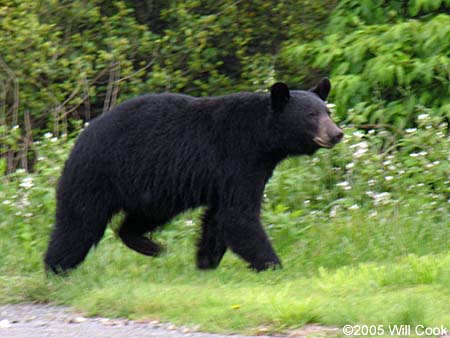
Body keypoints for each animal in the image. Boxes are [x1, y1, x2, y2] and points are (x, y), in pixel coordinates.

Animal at [44, 78, 342, 274]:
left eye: (327, 111)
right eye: (311, 114)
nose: (336, 133)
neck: (261, 139)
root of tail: (79, 139)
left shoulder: (234, 173)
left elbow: (218, 218)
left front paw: (206, 262)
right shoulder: (238, 161)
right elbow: (239, 215)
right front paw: (273, 265)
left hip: (153, 192)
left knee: (137, 220)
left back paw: (149, 246)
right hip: (98, 176)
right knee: (79, 222)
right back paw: (56, 267)